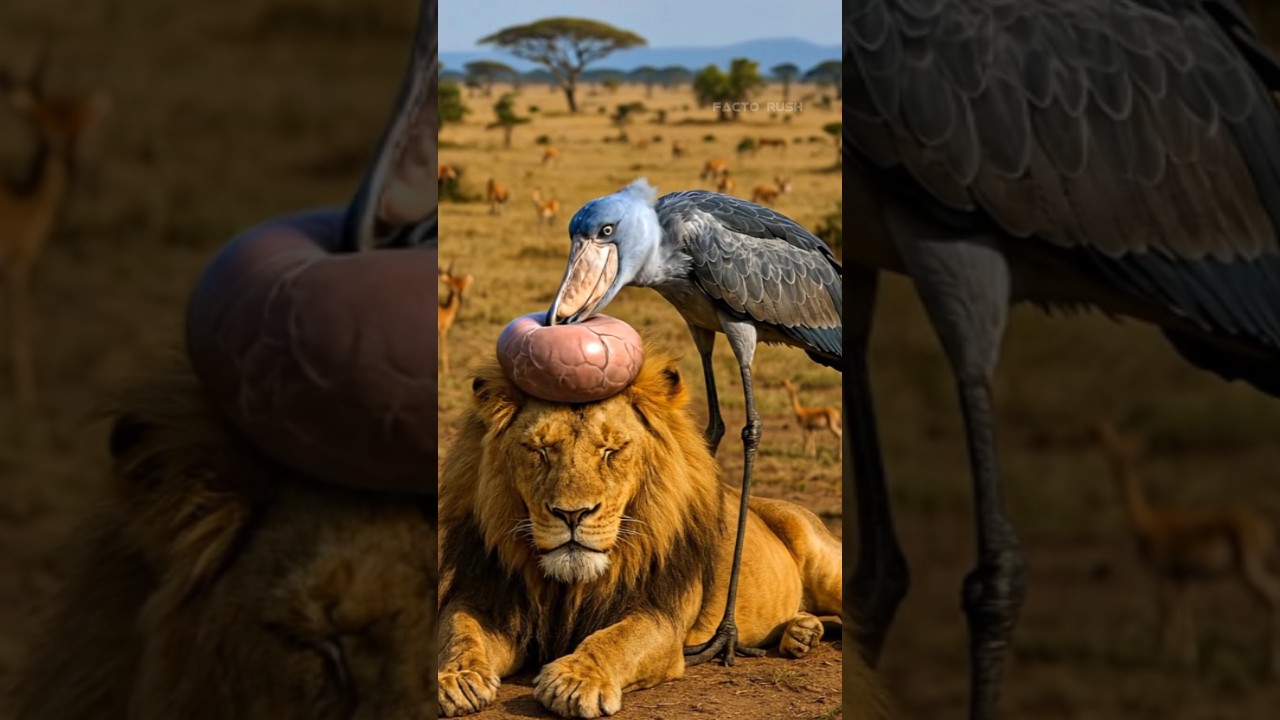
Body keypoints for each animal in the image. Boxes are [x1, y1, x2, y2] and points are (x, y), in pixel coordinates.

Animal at [437, 346, 894, 719]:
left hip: (826, 564)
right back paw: (801, 633)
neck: (569, 586)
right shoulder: (491, 599)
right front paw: (454, 679)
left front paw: (576, 680)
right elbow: (458, 630)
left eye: (612, 451)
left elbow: (616, 640)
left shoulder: (660, 616)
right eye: (540, 450)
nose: (572, 514)